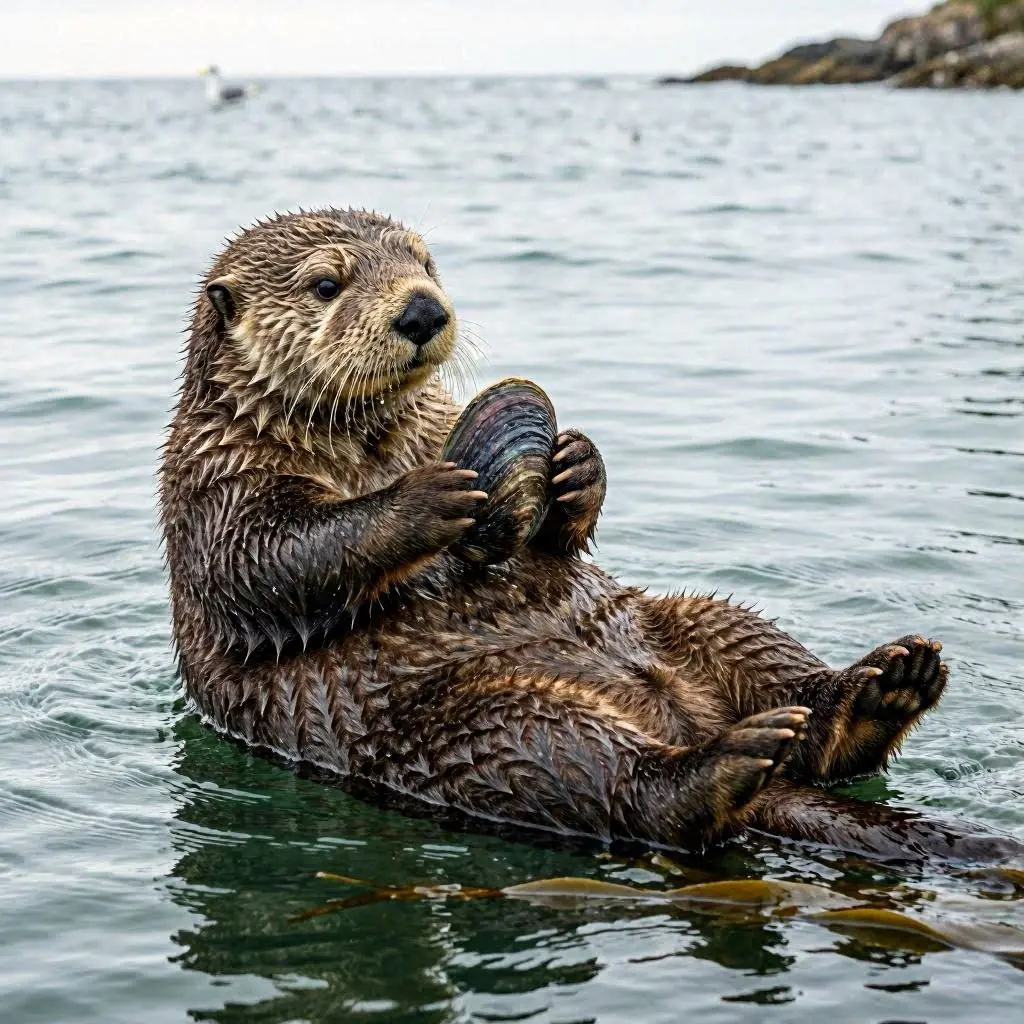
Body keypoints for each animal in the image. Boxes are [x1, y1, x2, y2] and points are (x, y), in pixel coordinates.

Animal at [159, 208, 1019, 864]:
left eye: (426, 262)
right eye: (326, 284)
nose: (422, 310)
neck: (373, 447)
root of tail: (682, 719)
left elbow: (554, 540)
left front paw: (576, 462)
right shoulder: (212, 482)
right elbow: (263, 562)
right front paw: (429, 495)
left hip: (686, 620)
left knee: (770, 671)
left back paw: (881, 687)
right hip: (473, 727)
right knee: (605, 780)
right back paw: (722, 767)